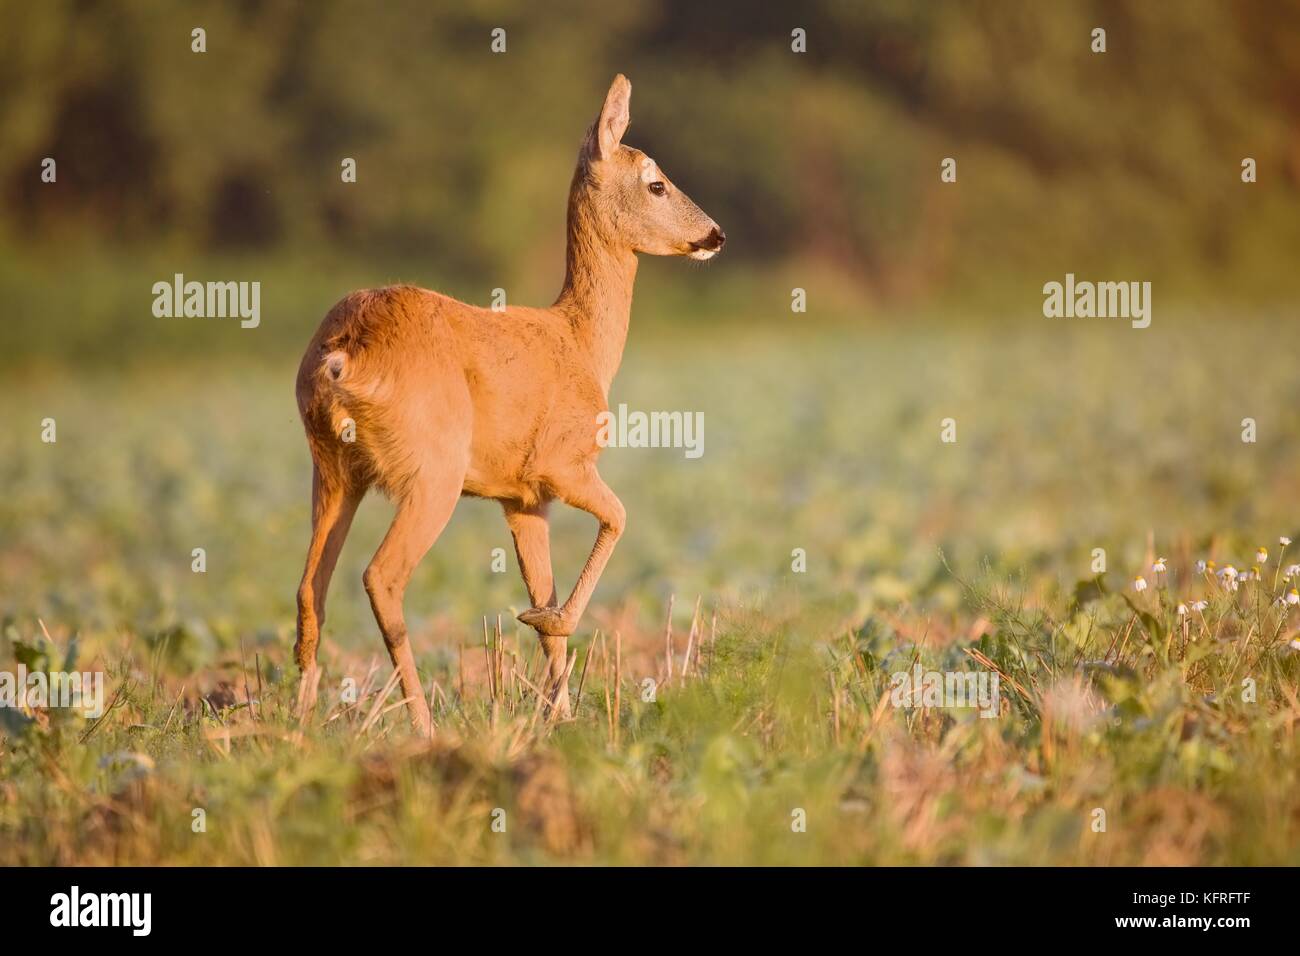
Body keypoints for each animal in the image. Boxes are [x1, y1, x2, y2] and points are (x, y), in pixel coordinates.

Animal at [292, 74, 722, 738]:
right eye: (657, 183)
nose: (716, 234)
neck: (581, 342)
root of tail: (339, 357)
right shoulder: (561, 464)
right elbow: (619, 519)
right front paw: (546, 632)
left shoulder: (522, 499)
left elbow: (543, 587)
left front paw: (558, 713)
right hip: (433, 471)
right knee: (380, 577)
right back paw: (423, 726)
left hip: (333, 471)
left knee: (310, 587)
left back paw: (295, 726)